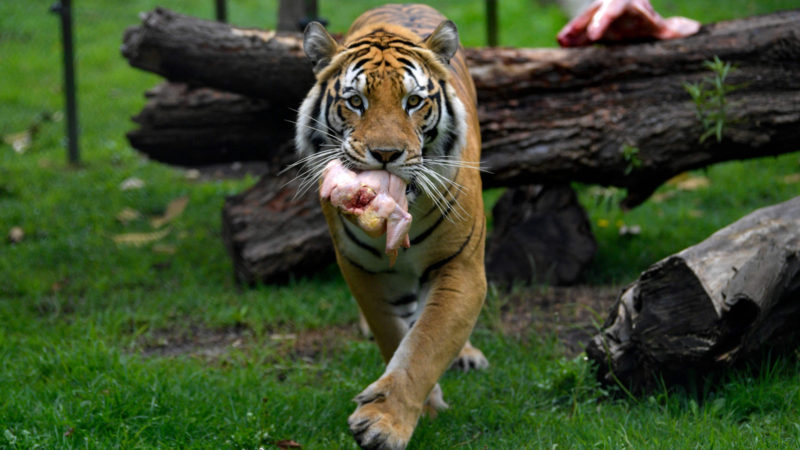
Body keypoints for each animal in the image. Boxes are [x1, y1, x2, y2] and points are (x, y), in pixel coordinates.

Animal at [292, 4, 484, 450]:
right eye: (355, 101)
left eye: (413, 101)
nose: (385, 154)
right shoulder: (363, 270)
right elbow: (395, 336)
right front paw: (420, 406)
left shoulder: (461, 266)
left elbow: (426, 343)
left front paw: (383, 423)